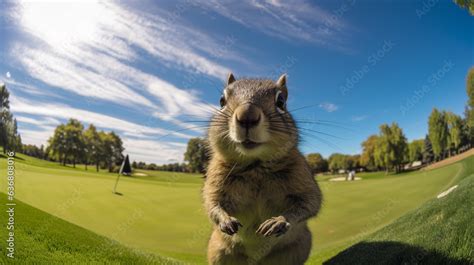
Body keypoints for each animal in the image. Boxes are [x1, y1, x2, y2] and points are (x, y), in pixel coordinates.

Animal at [204, 72, 322, 264]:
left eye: (281, 101)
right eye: (221, 100)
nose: (247, 115)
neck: (255, 167)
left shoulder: (302, 177)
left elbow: (310, 203)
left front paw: (279, 221)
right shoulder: (215, 179)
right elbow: (212, 203)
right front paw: (225, 220)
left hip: (300, 246)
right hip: (218, 251)